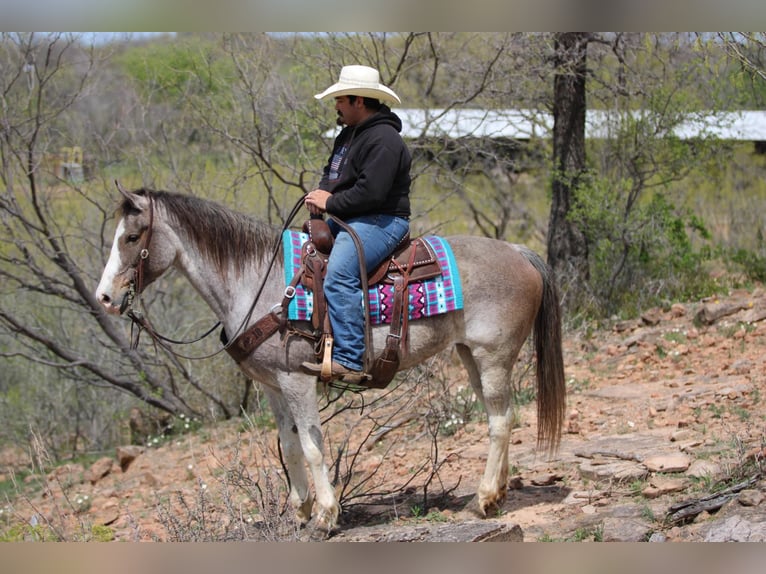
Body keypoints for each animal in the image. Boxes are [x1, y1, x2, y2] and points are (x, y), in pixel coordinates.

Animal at [96, 187, 568, 536]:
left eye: (132, 238)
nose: (104, 298)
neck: (258, 283)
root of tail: (518, 251)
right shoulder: (273, 386)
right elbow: (288, 446)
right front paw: (300, 511)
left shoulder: (297, 380)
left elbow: (311, 445)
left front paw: (325, 515)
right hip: (470, 355)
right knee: (497, 416)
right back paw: (497, 495)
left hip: (494, 356)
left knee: (501, 421)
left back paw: (484, 500)